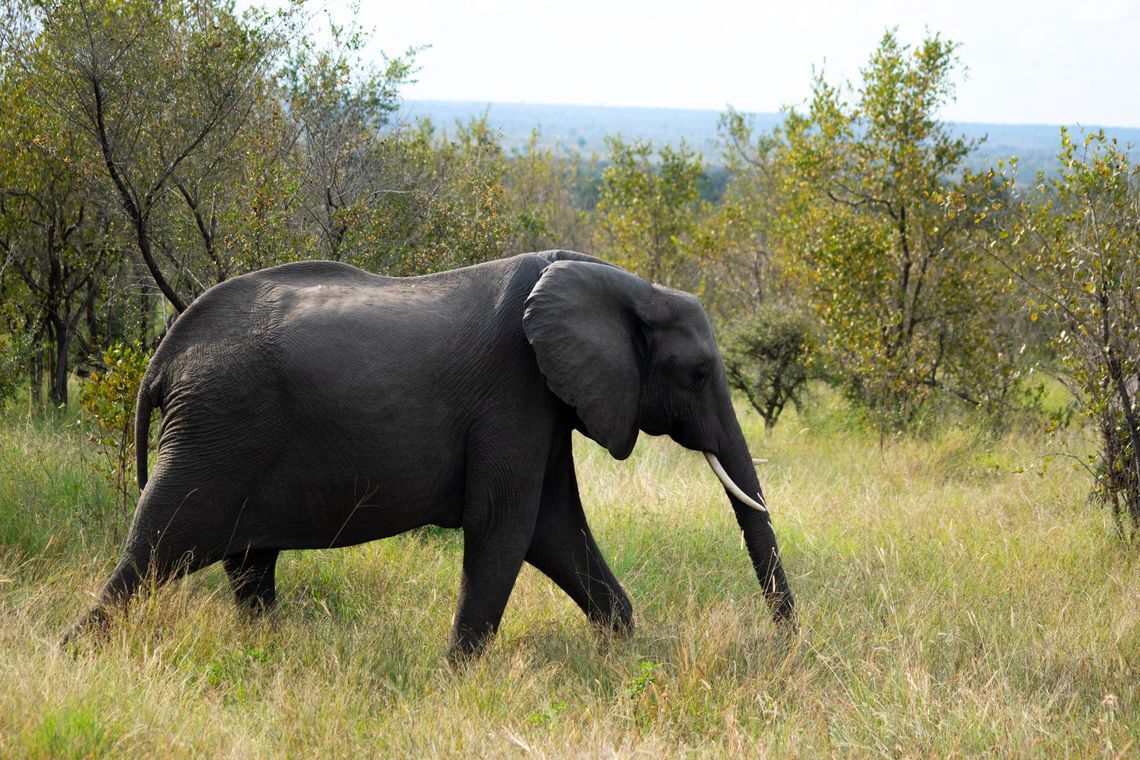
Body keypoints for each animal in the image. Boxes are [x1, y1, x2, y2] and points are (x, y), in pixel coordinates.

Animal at [65, 250, 795, 659]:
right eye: (699, 373)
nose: (787, 648)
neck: (623, 284)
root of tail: (164, 356)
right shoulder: (514, 392)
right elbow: (508, 528)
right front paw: (458, 673)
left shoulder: (545, 403)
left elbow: (553, 527)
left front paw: (616, 647)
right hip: (213, 436)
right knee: (154, 549)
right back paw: (76, 655)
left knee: (248, 566)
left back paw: (266, 652)